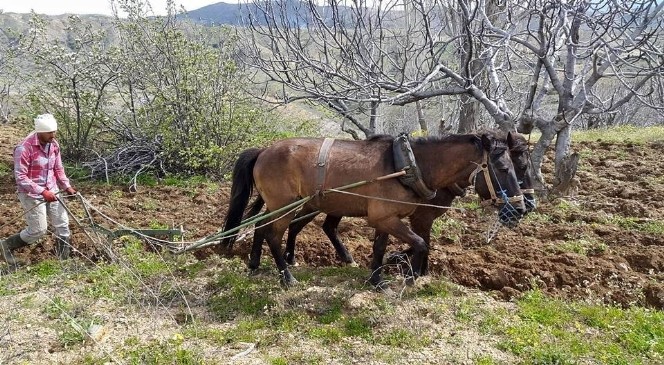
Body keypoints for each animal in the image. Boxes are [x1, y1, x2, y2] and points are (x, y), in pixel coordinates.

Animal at [220, 132, 528, 286]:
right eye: (504, 168)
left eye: (518, 165)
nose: (521, 207)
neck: (409, 166)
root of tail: (263, 151)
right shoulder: (398, 218)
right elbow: (421, 243)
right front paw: (411, 275)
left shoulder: (387, 217)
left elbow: (381, 246)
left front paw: (377, 278)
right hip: (285, 206)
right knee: (273, 234)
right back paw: (287, 277)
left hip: (284, 205)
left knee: (262, 226)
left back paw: (255, 264)